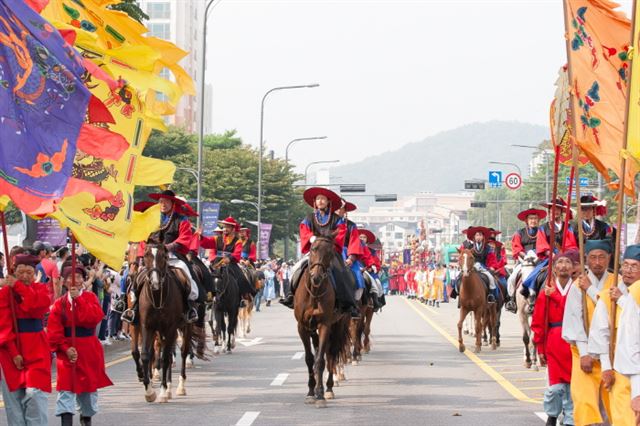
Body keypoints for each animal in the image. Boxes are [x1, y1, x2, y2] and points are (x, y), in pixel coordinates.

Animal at [137, 245, 192, 402]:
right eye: (146, 256)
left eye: (163, 256)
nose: (154, 283)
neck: (157, 298)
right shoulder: (147, 326)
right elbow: (146, 355)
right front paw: (149, 392)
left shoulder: (170, 328)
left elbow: (166, 358)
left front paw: (162, 392)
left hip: (185, 326)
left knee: (183, 351)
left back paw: (179, 387)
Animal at [294, 236, 350, 406]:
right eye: (313, 249)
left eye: (330, 253)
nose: (316, 277)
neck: (314, 293)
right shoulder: (302, 327)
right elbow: (309, 359)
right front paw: (311, 392)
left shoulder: (325, 325)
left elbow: (320, 359)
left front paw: (319, 394)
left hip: (338, 325)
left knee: (331, 353)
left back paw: (329, 388)